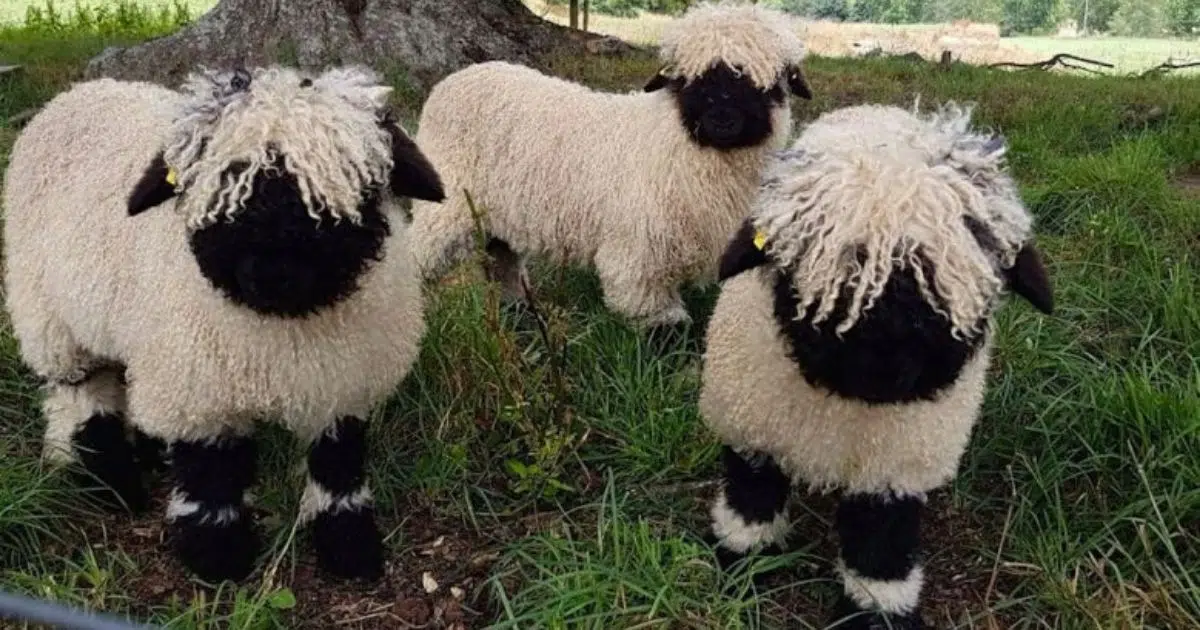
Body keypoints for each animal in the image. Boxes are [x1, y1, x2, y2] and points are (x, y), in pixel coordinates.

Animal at [2, 65, 446, 584]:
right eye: (223, 185)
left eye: (349, 189)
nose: (272, 273)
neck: (285, 327)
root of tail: (84, 89)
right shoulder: (200, 390)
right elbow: (210, 475)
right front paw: (218, 558)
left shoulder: (342, 384)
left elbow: (338, 466)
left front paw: (350, 548)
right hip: (51, 321)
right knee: (83, 401)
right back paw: (113, 487)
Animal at [405, 1, 813, 344]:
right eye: (688, 81)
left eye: (768, 84)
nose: (722, 121)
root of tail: (460, 76)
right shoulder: (638, 256)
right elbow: (661, 325)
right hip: (448, 204)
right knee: (418, 254)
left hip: (497, 214)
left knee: (500, 261)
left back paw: (520, 316)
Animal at [698, 102, 1054, 629]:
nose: (888, 364)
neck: (844, 404)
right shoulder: (750, 425)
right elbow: (752, 493)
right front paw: (742, 560)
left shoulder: (895, 466)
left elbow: (881, 539)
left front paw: (878, 610)